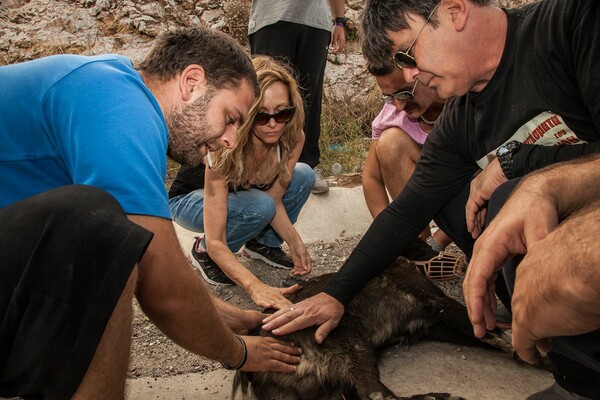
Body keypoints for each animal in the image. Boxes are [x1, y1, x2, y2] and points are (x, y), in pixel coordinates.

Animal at [232, 258, 524, 398]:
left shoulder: (431, 325)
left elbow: (484, 336)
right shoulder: (438, 304)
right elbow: (485, 328)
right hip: (353, 342)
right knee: (377, 395)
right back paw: (437, 397)